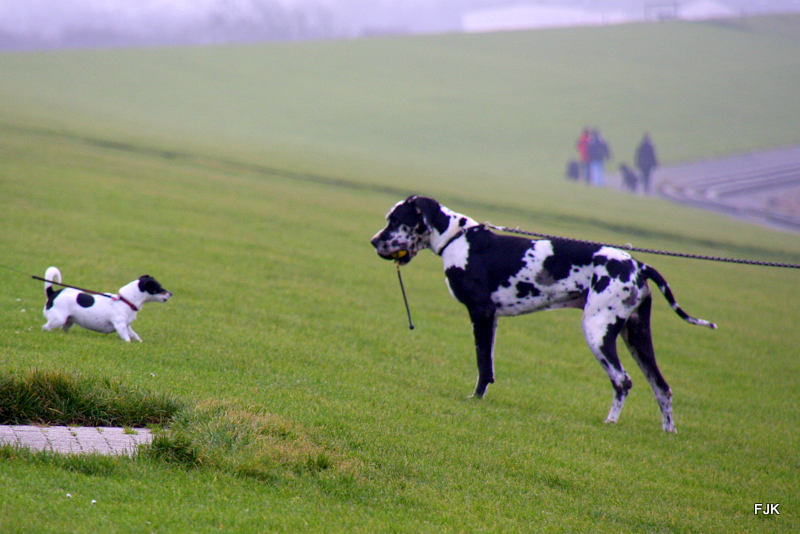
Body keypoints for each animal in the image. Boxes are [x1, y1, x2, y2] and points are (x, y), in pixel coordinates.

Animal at [42, 266, 172, 344]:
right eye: (159, 288)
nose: (171, 293)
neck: (126, 300)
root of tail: (53, 293)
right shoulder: (120, 326)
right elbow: (127, 338)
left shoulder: (127, 326)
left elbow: (134, 335)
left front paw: (140, 342)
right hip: (58, 319)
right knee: (45, 327)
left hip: (68, 321)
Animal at [372, 196, 716, 432]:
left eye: (395, 220)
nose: (374, 240)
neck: (458, 238)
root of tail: (638, 265)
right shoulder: (492, 319)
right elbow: (489, 367)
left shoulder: (480, 313)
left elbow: (482, 366)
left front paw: (475, 399)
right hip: (638, 338)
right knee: (662, 388)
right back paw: (667, 431)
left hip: (598, 332)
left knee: (623, 381)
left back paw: (610, 422)